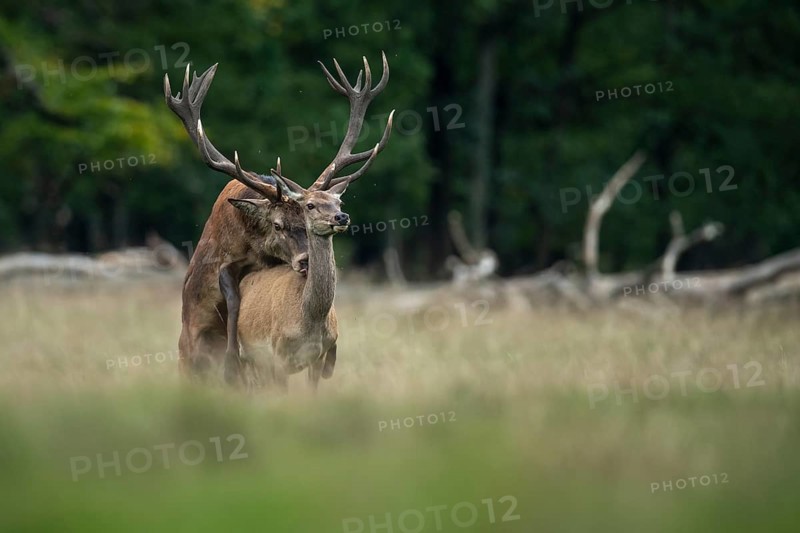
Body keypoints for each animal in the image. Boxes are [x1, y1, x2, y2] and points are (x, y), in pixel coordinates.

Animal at [165, 63, 313, 385]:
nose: (307, 261)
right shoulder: (226, 261)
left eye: (311, 221)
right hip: (186, 356)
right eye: (278, 225)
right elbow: (231, 294)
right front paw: (232, 362)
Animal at [236, 53, 395, 391]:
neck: (307, 321)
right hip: (249, 357)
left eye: (339, 202)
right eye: (309, 205)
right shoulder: (277, 356)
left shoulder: (321, 356)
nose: (341, 217)